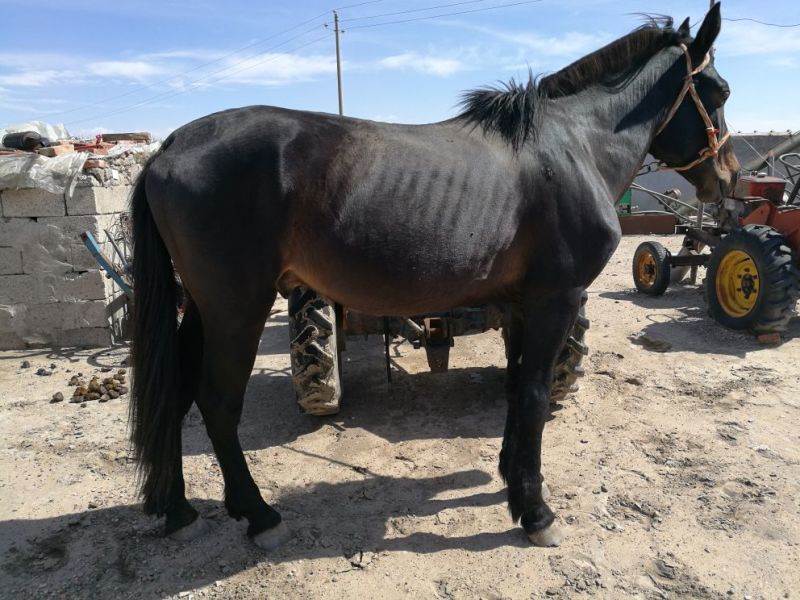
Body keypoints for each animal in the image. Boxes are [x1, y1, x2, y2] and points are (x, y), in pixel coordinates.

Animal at [129, 3, 739, 550]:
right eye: (721, 92)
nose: (729, 178)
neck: (572, 147)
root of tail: (170, 146)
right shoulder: (557, 300)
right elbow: (536, 395)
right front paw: (536, 512)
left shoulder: (519, 305)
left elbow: (516, 389)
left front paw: (511, 485)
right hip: (238, 306)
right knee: (215, 401)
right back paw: (258, 515)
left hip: (201, 306)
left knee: (177, 393)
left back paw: (181, 509)